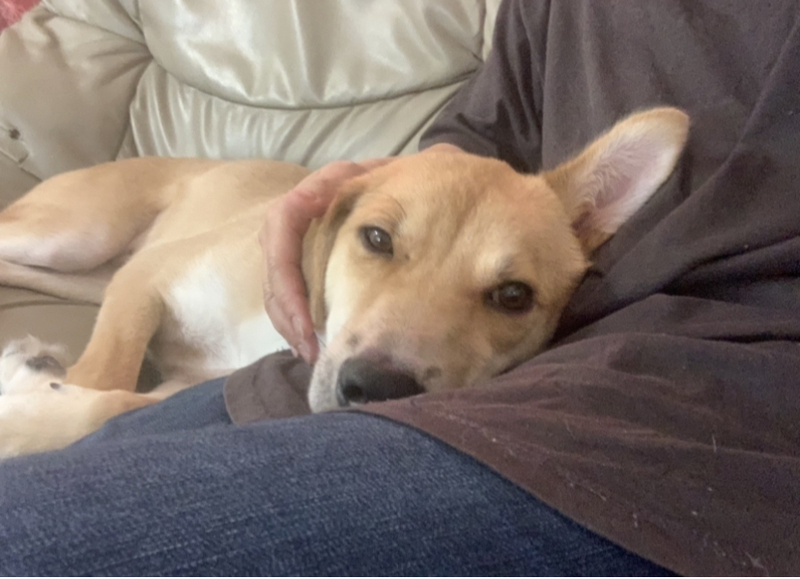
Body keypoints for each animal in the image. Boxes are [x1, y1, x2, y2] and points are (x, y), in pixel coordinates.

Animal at [0, 108, 689, 458]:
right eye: (377, 238)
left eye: (513, 296)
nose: (374, 389)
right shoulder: (147, 279)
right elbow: (105, 375)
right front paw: (37, 398)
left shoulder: (180, 382)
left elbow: (112, 404)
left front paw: (33, 403)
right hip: (78, 234)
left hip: (86, 269)